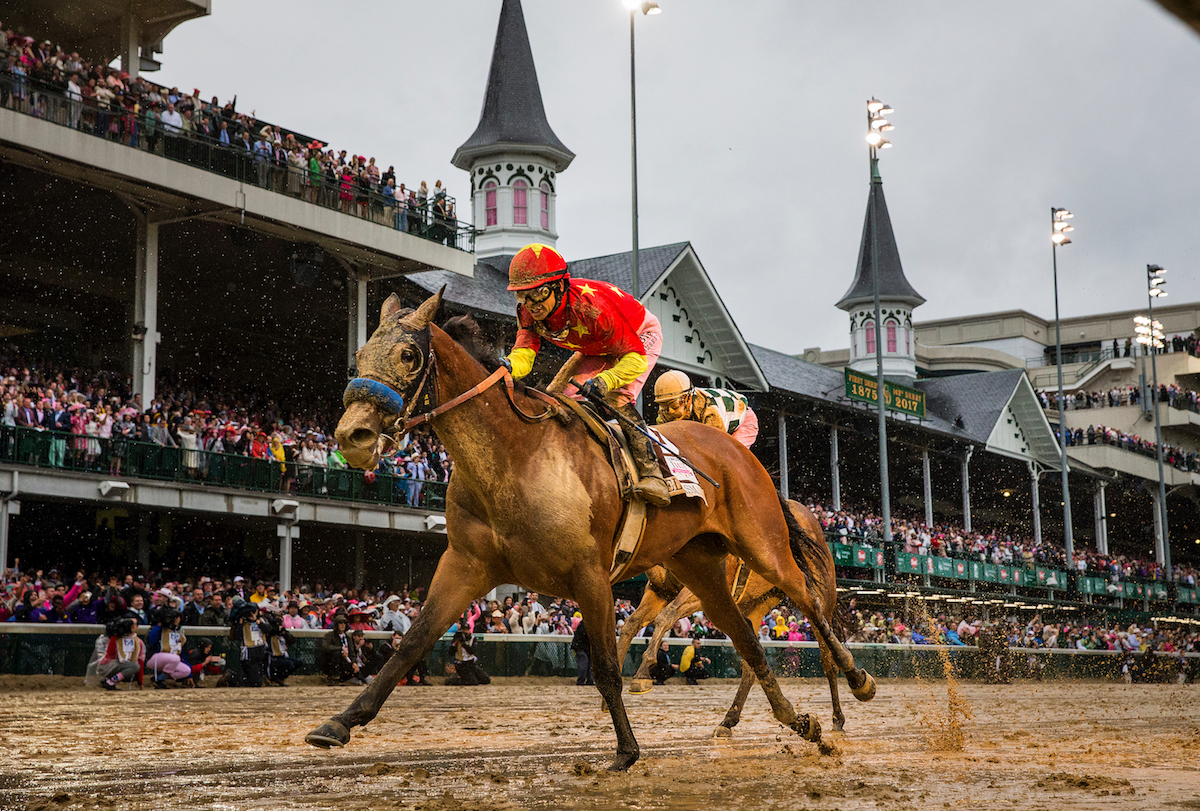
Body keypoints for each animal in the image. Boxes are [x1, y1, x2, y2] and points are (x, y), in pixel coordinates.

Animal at [614, 501, 849, 734]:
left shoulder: (705, 589)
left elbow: (666, 616)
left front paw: (642, 674)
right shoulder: (659, 590)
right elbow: (631, 625)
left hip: (819, 594)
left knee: (828, 657)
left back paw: (838, 717)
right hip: (758, 603)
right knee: (750, 661)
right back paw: (728, 720)